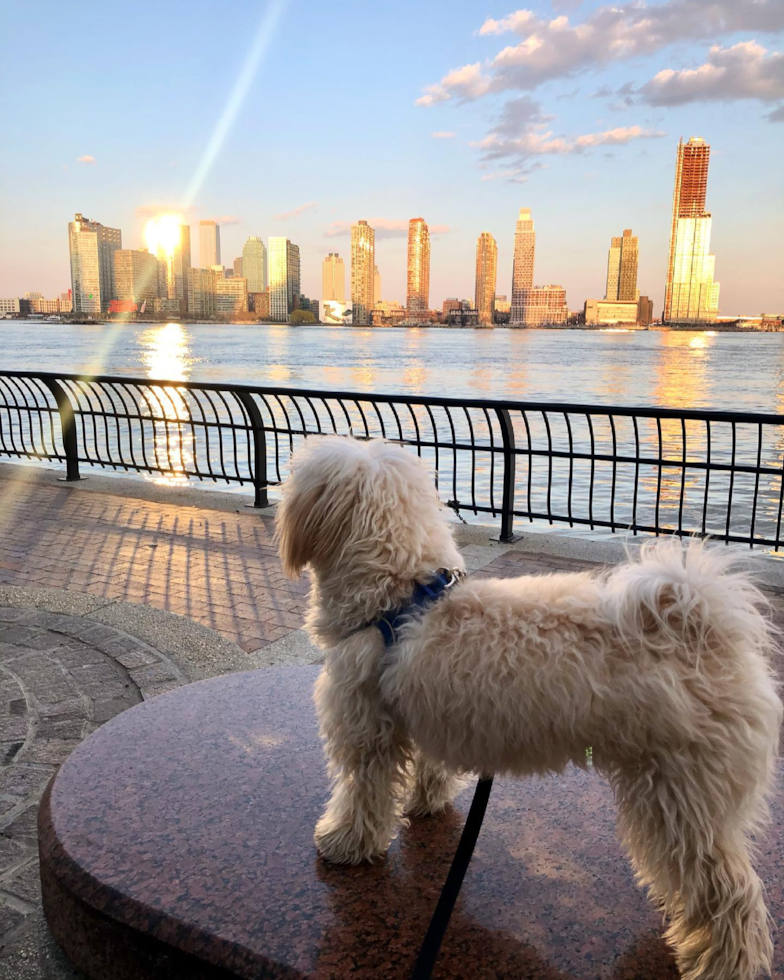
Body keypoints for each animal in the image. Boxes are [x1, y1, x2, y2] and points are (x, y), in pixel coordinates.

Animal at [278, 436, 784, 980]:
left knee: (731, 894)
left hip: (682, 798)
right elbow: (429, 769)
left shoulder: (366, 731)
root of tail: (707, 632)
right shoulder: (430, 715)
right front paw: (426, 801)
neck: (402, 596)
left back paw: (721, 962)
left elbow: (361, 795)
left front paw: (344, 843)